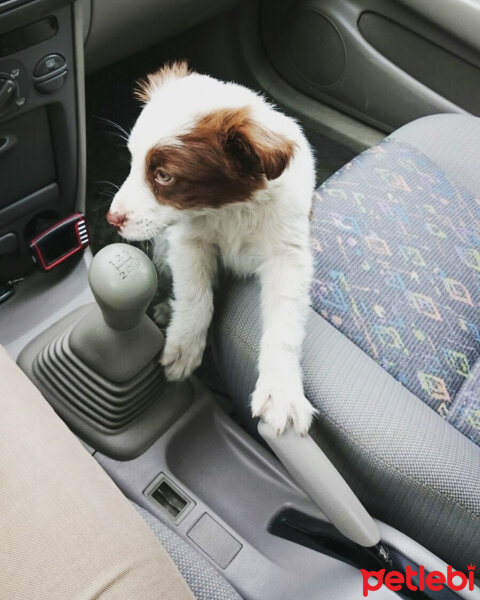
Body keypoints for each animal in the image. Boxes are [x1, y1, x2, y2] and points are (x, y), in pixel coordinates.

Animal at [106, 62, 316, 436]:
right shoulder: (187, 240)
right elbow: (195, 296)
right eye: (132, 160)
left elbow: (284, 322)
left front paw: (281, 392)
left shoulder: (288, 252)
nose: (111, 218)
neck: (228, 208)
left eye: (163, 175)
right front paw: (183, 348)